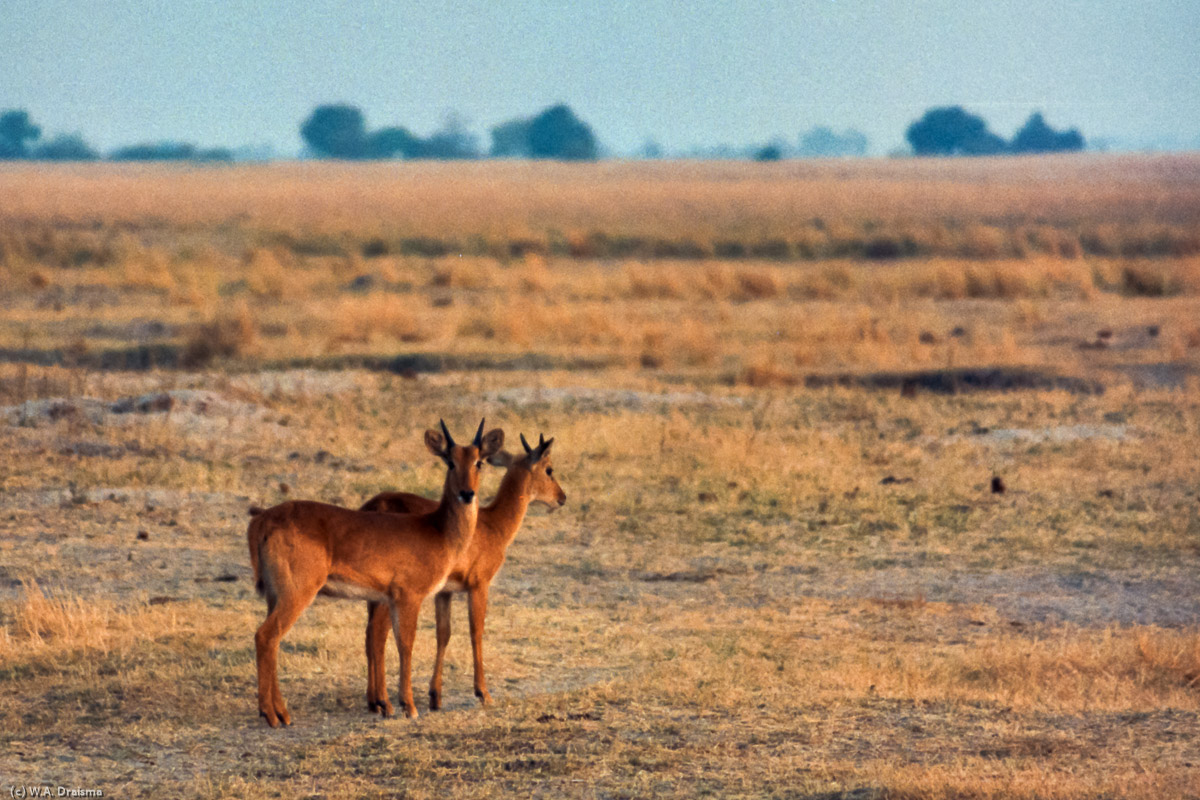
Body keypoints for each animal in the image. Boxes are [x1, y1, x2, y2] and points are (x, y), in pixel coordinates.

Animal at [248, 419, 501, 724]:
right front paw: (409, 706)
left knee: (270, 639)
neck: (437, 531)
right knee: (266, 636)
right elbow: (406, 644)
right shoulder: (409, 596)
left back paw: (279, 713)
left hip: (274, 596)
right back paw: (274, 715)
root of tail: (262, 520)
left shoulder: (390, 599)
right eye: (450, 461)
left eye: (479, 462)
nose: (467, 494)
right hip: (297, 593)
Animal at [357, 434, 564, 714]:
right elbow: (476, 631)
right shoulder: (479, 585)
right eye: (549, 469)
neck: (492, 525)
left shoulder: (444, 592)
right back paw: (386, 704)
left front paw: (436, 696)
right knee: (377, 635)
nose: (562, 497)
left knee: (370, 635)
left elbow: (443, 634)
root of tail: (369, 506)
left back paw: (375, 703)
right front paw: (483, 693)